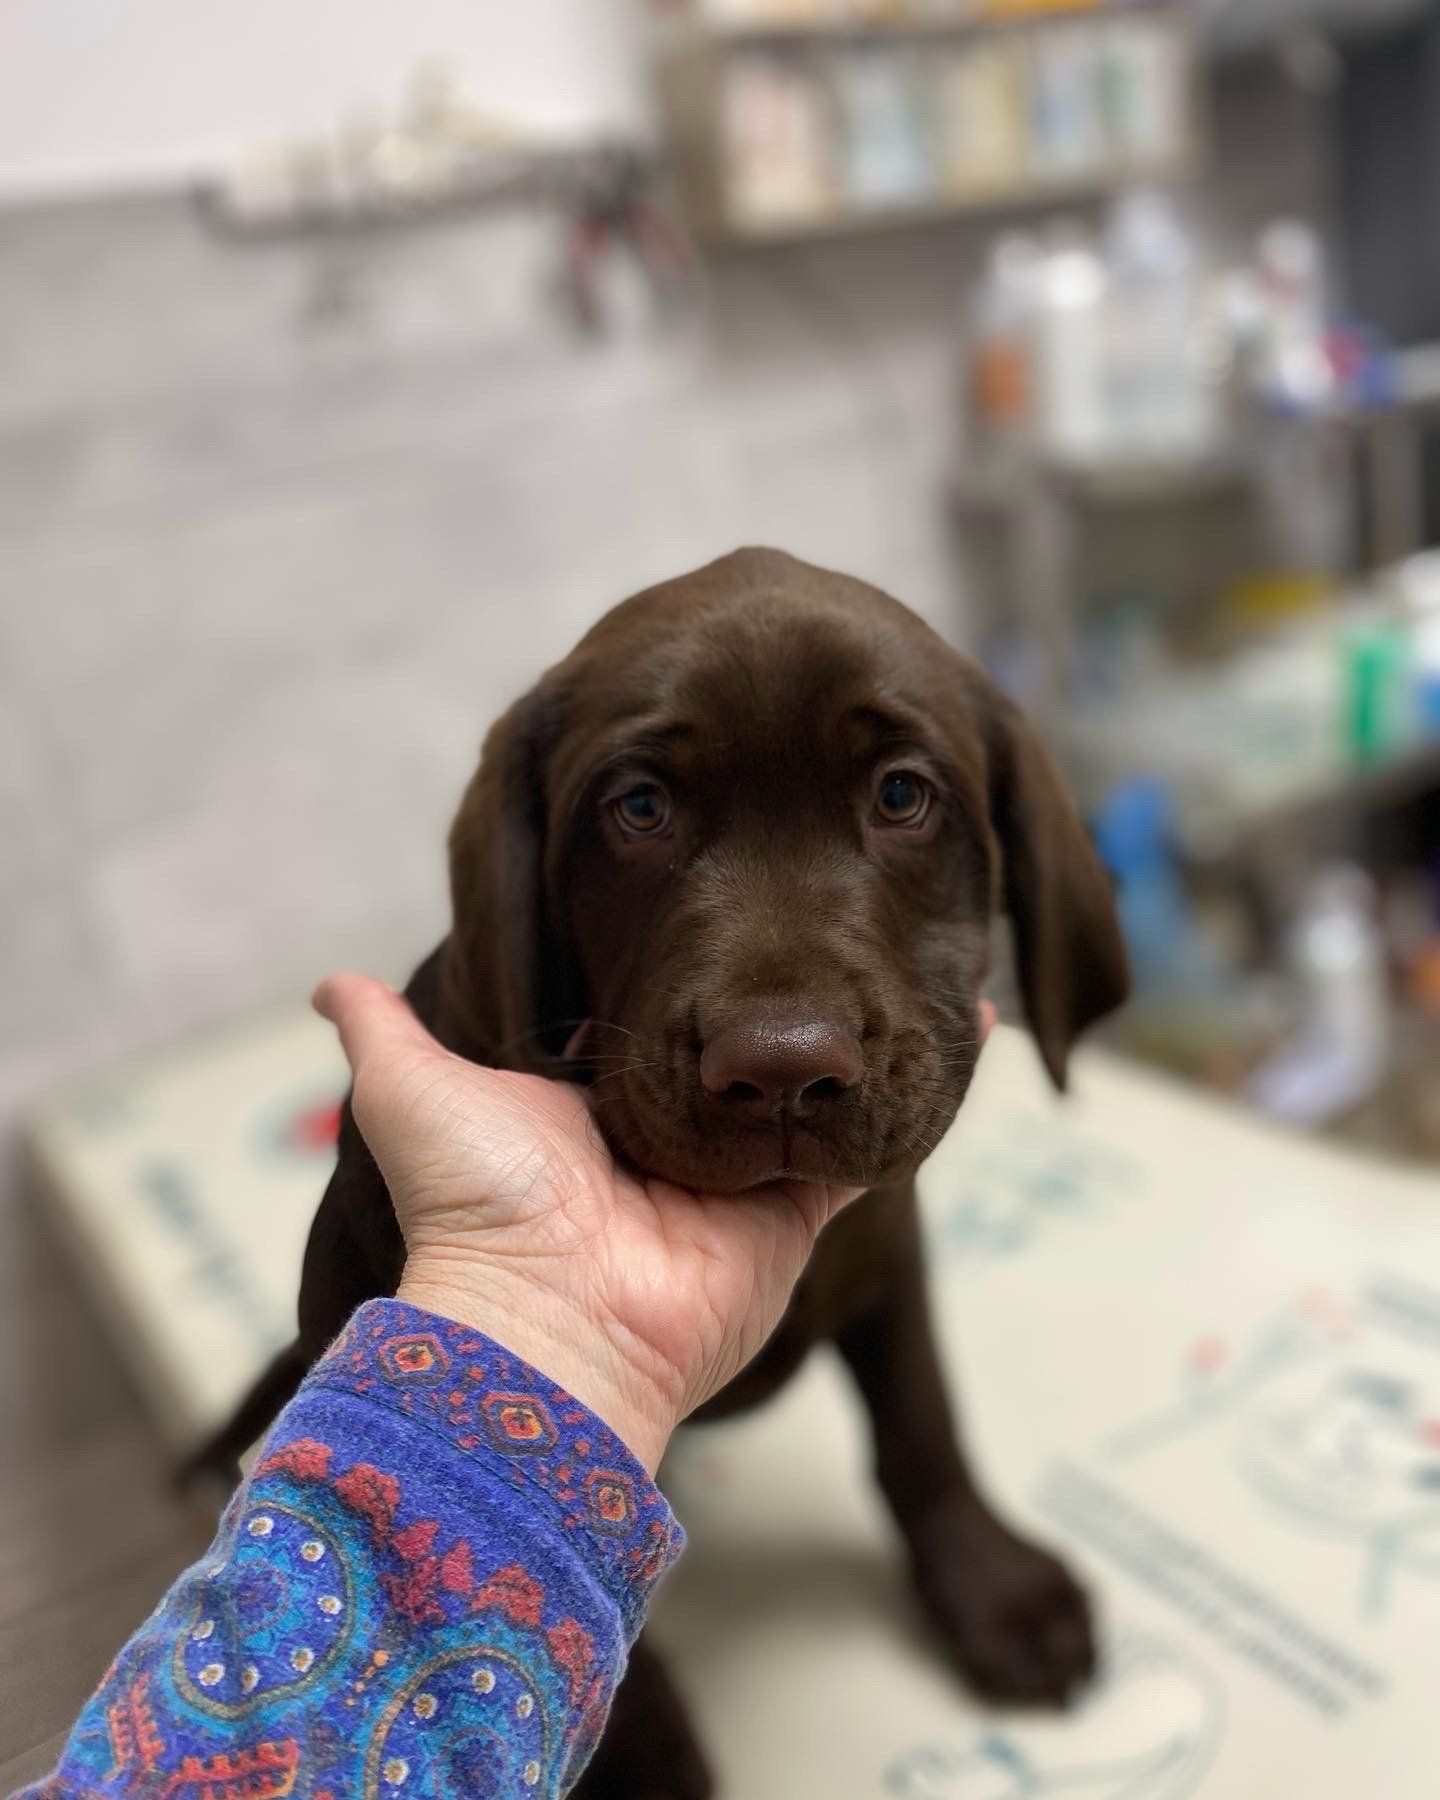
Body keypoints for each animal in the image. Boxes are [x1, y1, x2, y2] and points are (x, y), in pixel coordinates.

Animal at [193, 547, 1128, 1798]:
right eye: (639, 808)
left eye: (900, 796)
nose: (780, 1070)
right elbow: (552, 1534)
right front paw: (636, 1756)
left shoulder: (890, 1253)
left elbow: (922, 1422)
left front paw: (992, 1590)